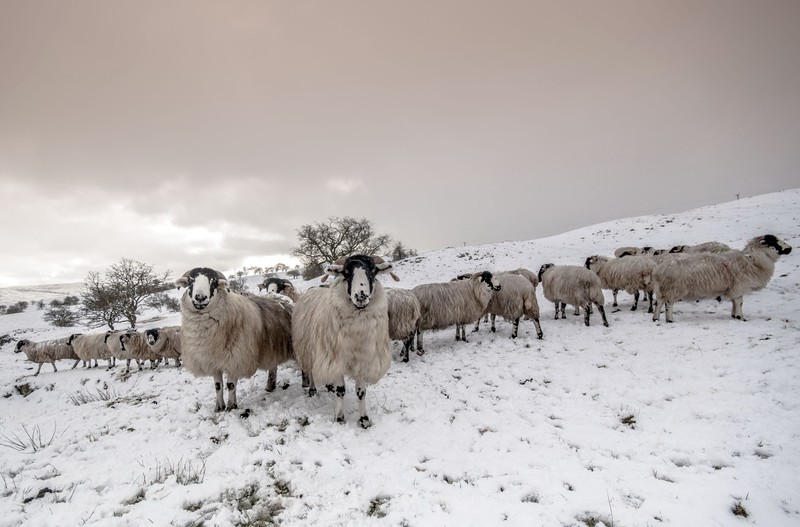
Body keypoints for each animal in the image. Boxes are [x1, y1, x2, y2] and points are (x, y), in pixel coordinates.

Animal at [176, 267, 294, 411]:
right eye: (190, 281)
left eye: (214, 282)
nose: (200, 297)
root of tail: (279, 296)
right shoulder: (213, 361)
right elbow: (218, 385)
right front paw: (219, 407)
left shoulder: (235, 359)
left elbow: (230, 384)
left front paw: (231, 407)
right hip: (273, 346)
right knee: (273, 366)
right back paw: (270, 386)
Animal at [292, 255, 395, 428]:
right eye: (346, 272)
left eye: (373, 270)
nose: (361, 296)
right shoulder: (336, 360)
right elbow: (341, 391)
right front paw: (340, 419)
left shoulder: (362, 361)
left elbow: (361, 392)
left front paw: (364, 420)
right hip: (309, 349)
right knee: (311, 372)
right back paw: (313, 390)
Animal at [652, 234, 792, 323]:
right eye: (773, 242)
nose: (789, 248)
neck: (752, 260)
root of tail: (659, 268)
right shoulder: (738, 287)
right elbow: (739, 302)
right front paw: (741, 318)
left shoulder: (733, 288)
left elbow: (734, 302)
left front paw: (734, 315)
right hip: (674, 289)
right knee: (669, 303)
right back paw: (670, 319)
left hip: (661, 289)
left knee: (659, 302)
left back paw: (656, 318)